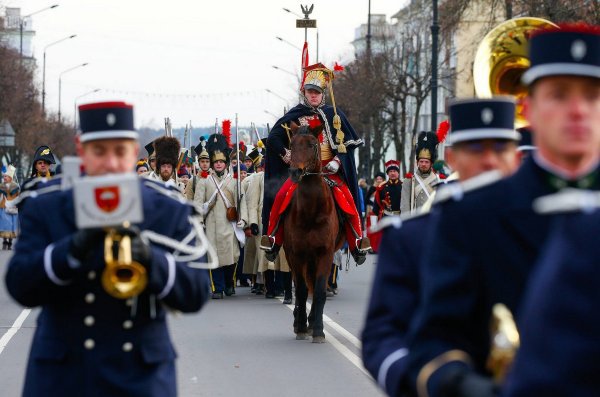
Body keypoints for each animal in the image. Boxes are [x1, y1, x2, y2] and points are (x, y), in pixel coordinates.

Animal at [284, 122, 344, 342]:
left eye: (311, 144)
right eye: (292, 144)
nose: (295, 172)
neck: (311, 211)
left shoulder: (325, 253)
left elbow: (318, 290)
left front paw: (318, 328)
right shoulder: (297, 254)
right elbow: (301, 290)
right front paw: (301, 326)